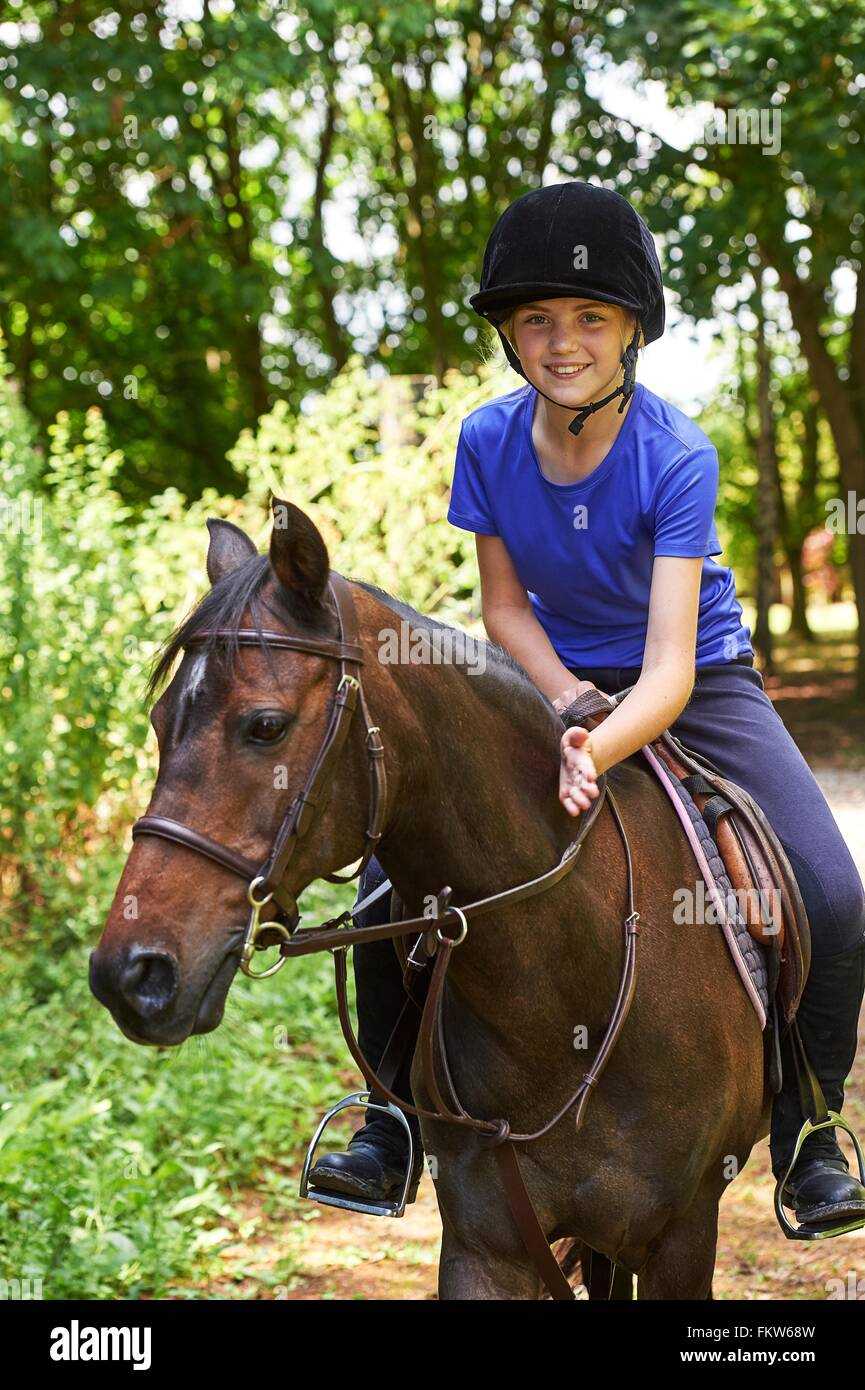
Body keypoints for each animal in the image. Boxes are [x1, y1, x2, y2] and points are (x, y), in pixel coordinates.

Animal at [91, 503, 767, 1301]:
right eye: (161, 723)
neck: (573, 992)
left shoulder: (681, 1243)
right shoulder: (486, 1248)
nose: (130, 974)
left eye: (265, 725)